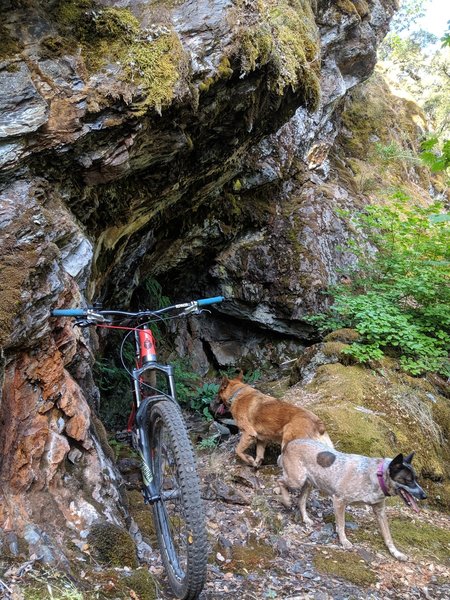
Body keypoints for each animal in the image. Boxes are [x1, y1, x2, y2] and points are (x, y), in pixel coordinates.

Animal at [280, 438, 428, 560]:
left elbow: (388, 536)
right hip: (296, 480)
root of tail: (290, 443)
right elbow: (341, 525)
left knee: (301, 500)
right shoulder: (339, 501)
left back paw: (305, 518)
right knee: (280, 481)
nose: (424, 495)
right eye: (408, 480)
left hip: (308, 483)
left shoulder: (380, 511)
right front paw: (344, 541)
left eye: (416, 479)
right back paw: (286, 500)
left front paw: (396, 553)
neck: (376, 476)